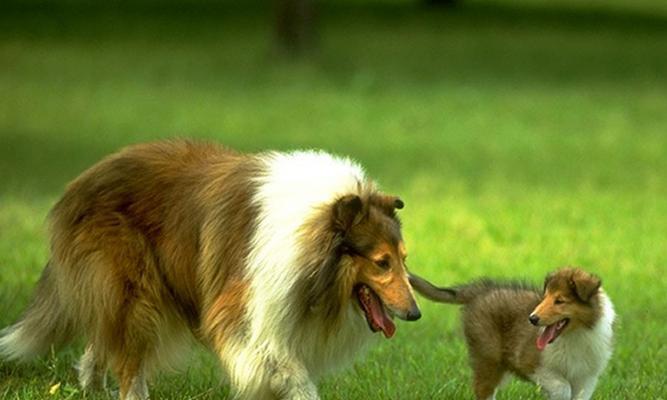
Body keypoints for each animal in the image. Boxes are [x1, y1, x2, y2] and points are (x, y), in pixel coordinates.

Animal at [0, 141, 420, 400]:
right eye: (381, 262)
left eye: (404, 258)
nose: (415, 313)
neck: (309, 243)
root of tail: (76, 187)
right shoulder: (244, 315)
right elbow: (290, 371)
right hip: (134, 290)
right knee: (129, 359)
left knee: (103, 341)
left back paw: (91, 386)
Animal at [412, 268, 616, 400]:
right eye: (545, 297)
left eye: (559, 301)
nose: (532, 319)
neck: (575, 335)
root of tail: (480, 290)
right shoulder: (530, 363)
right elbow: (562, 387)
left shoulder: (586, 377)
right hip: (488, 358)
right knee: (483, 390)